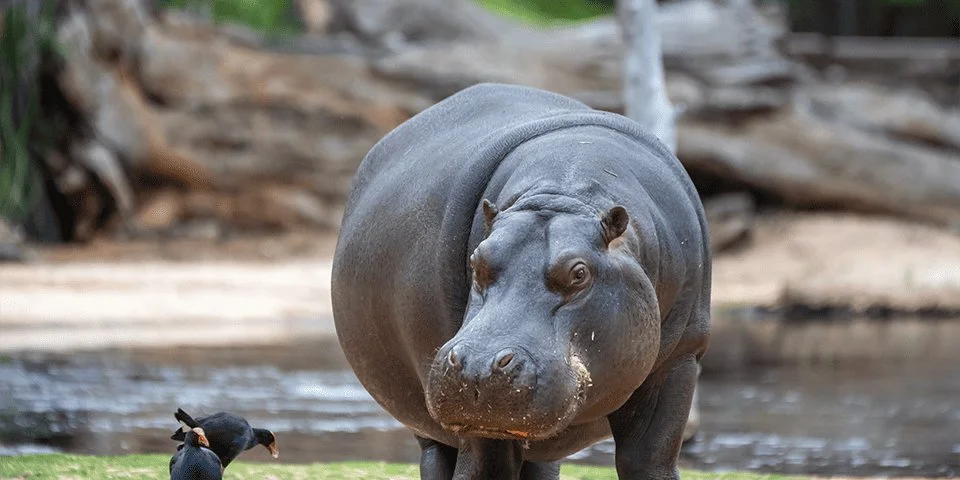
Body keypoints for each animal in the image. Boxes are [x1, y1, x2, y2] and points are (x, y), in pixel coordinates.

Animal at [331, 83, 711, 479]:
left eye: (579, 273)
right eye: (476, 260)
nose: (477, 367)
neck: (566, 188)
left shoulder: (680, 360)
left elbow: (648, 460)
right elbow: (487, 469)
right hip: (429, 425)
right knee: (438, 458)